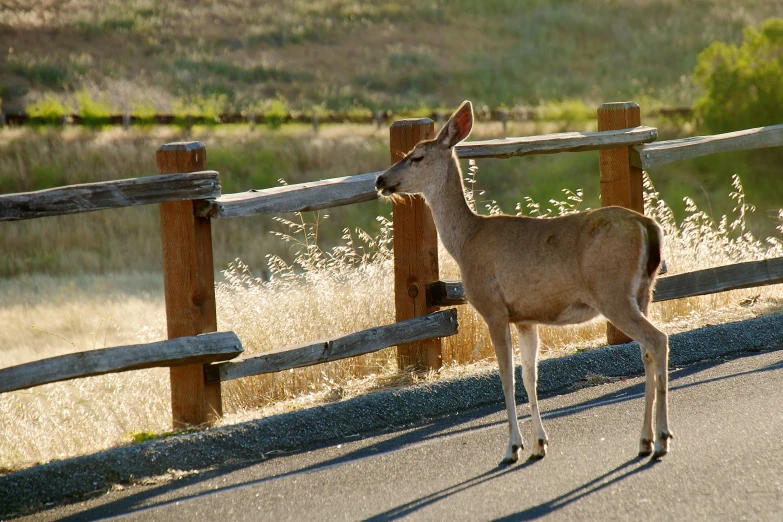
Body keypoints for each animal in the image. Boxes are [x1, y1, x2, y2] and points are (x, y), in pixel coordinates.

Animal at [376, 101, 672, 464]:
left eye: (416, 156)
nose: (380, 179)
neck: (466, 240)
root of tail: (649, 226)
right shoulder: (526, 318)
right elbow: (530, 377)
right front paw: (539, 443)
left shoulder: (493, 309)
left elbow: (505, 379)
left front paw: (512, 447)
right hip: (644, 290)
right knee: (647, 351)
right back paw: (644, 440)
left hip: (611, 291)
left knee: (658, 340)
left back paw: (661, 438)